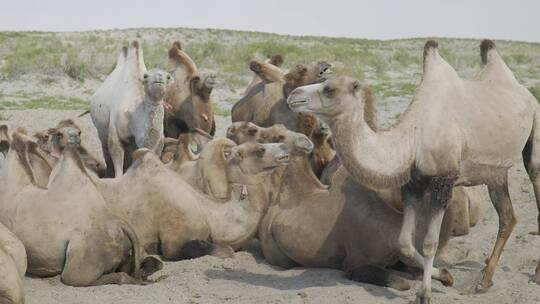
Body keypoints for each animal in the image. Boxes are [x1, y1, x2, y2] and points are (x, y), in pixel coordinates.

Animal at [286, 39, 540, 302]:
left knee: (534, 177)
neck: (413, 138)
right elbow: (404, 244)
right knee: (507, 216)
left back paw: (534, 275)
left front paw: (425, 294)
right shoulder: (413, 184)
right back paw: (484, 281)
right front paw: (445, 276)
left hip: (535, 127)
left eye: (330, 88)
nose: (294, 96)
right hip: (494, 171)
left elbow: (429, 243)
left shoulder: (444, 181)